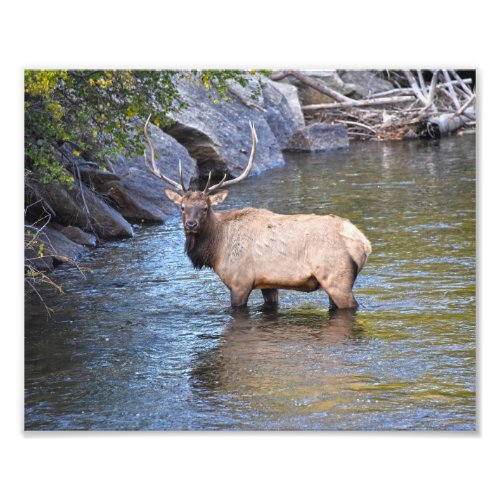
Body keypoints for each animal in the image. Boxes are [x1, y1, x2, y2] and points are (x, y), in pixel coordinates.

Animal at [145, 116, 372, 308]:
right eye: (182, 207)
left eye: (206, 208)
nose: (190, 224)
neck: (216, 249)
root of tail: (363, 243)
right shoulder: (268, 283)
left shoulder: (240, 282)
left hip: (336, 278)